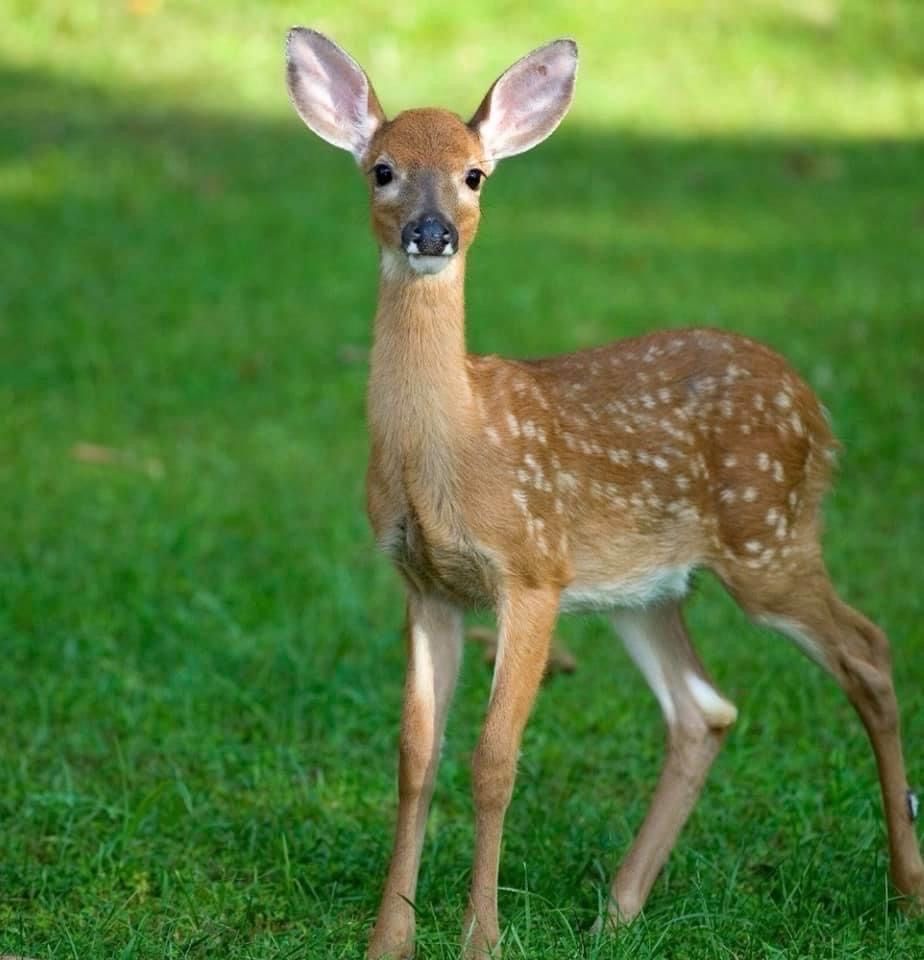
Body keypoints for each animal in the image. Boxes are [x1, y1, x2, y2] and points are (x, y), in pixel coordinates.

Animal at [284, 28, 923, 959]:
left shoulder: (531, 569)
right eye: (383, 169)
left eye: (475, 174)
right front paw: (388, 940)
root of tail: (816, 407)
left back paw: (907, 889)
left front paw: (482, 938)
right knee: (704, 708)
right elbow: (415, 758)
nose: (431, 233)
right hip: (644, 588)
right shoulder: (425, 584)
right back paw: (617, 909)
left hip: (767, 534)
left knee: (868, 649)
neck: (452, 446)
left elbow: (493, 760)